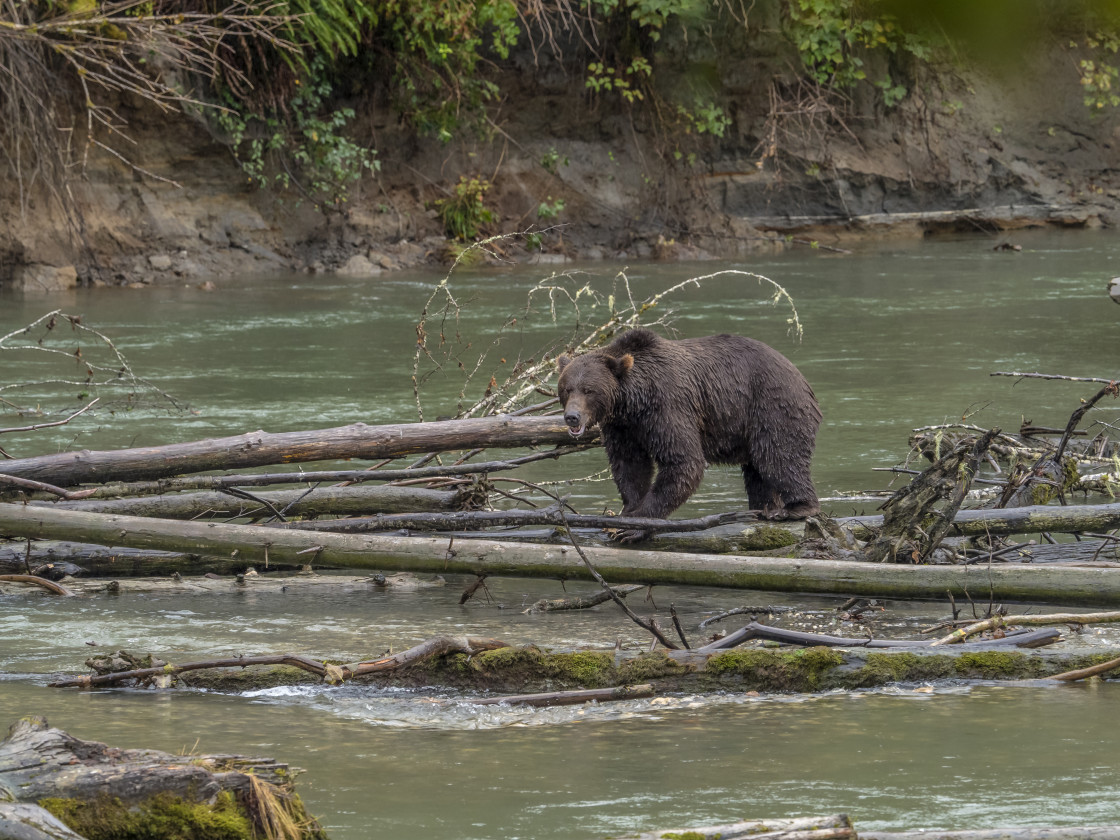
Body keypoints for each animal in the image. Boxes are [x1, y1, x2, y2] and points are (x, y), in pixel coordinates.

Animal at [555, 324, 819, 542]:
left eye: (589, 390)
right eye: (567, 388)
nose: (572, 417)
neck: (632, 402)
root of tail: (801, 377)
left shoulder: (667, 407)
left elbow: (682, 461)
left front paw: (634, 527)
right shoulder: (623, 427)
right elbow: (629, 466)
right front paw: (625, 515)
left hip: (771, 406)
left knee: (779, 456)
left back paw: (795, 508)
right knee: (757, 471)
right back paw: (762, 508)